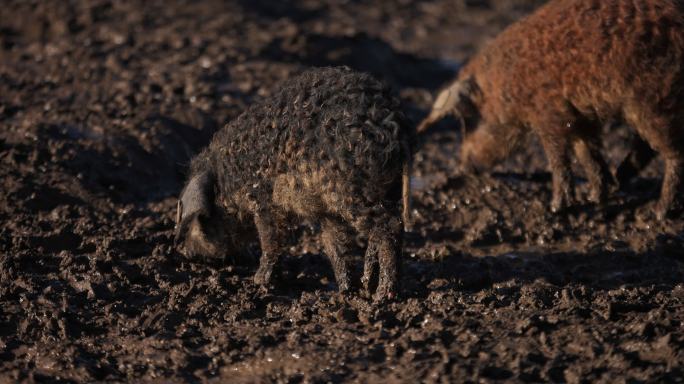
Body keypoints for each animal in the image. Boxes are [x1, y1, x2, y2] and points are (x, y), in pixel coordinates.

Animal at [420, 0, 680, 219]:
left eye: (469, 119)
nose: (463, 167)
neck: (507, 84)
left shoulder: (549, 113)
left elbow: (558, 159)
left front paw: (555, 209)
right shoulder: (579, 115)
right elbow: (587, 153)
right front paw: (594, 197)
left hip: (653, 99)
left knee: (673, 152)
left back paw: (658, 213)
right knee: (647, 146)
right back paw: (621, 178)